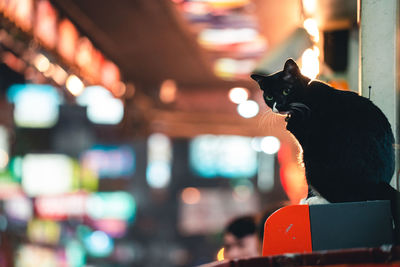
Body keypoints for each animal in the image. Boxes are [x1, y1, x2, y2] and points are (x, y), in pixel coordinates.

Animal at [252, 59, 398, 240]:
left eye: (286, 90)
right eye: (269, 96)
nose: (278, 106)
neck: (306, 95)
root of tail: (380, 183)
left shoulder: (307, 146)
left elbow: (307, 182)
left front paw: (307, 199)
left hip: (315, 160)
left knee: (347, 197)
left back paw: (316, 201)